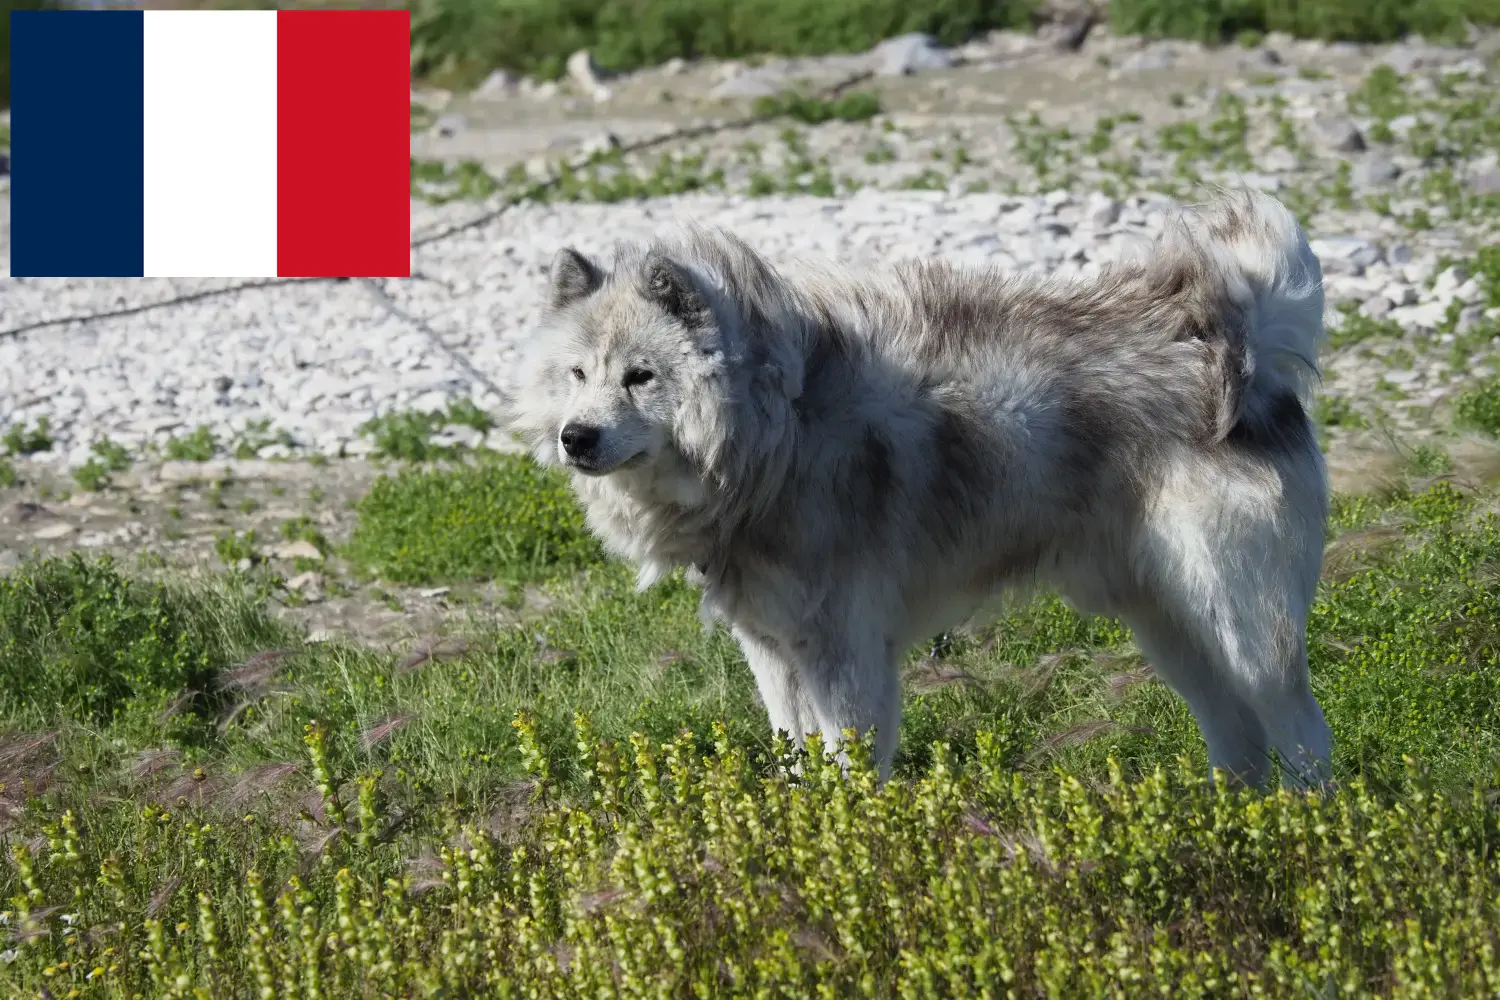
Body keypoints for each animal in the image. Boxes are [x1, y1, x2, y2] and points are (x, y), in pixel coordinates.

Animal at [507, 187, 1338, 791]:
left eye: (640, 376)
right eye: (576, 375)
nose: (575, 437)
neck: (776, 430)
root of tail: (1242, 347)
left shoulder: (845, 656)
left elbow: (849, 773)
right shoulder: (775, 656)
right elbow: (796, 764)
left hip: (1240, 625)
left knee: (1301, 734)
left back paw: (1311, 836)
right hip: (1167, 623)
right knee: (1238, 737)